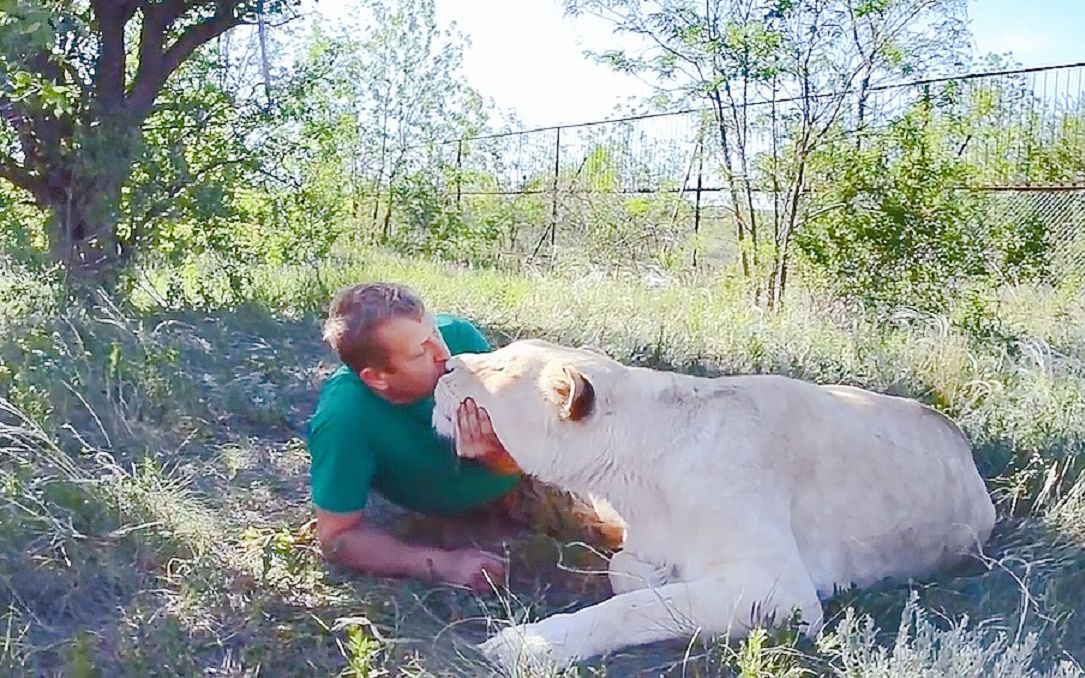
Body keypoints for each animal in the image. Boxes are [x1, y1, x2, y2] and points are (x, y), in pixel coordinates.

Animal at [427, 338, 993, 672]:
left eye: (500, 364)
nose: (446, 364)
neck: (634, 477)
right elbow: (626, 571)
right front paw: (657, 575)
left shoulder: (781, 589)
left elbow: (637, 606)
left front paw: (526, 646)